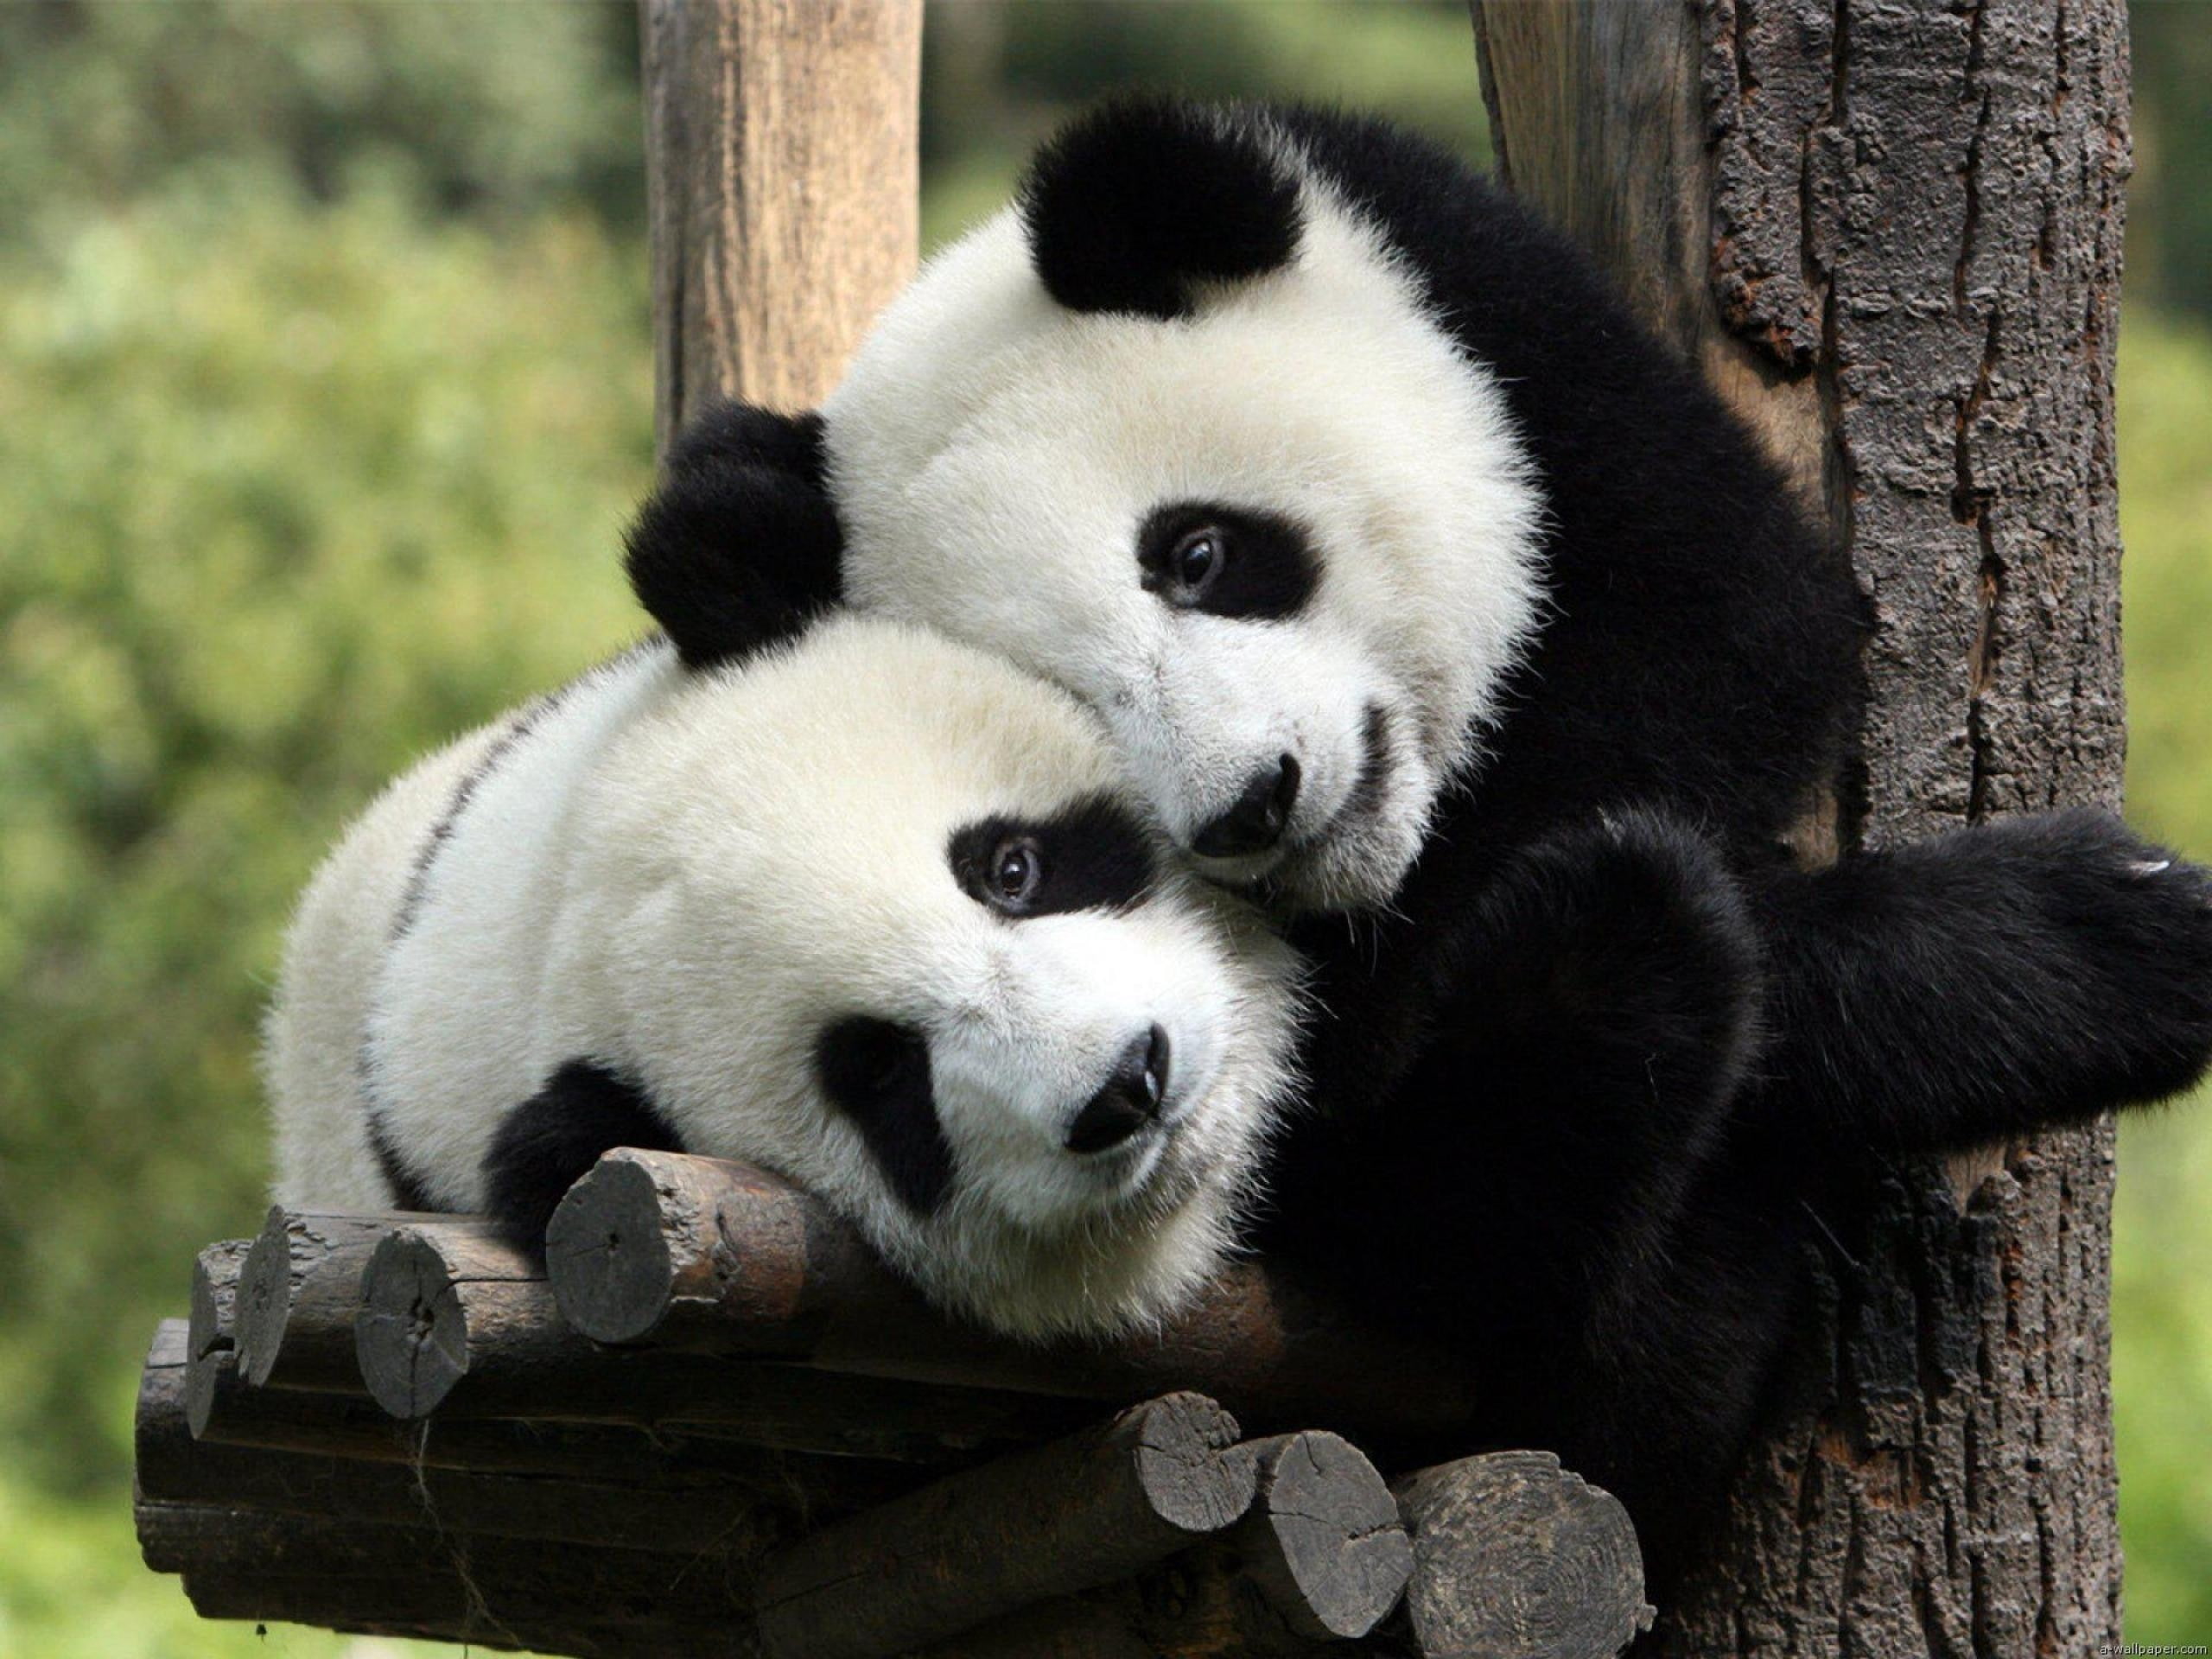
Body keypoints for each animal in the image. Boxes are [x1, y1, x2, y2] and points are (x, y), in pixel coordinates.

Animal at [626, 99, 2212, 1584]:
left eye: (1198, 554)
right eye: (1071, 704)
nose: (1254, 804)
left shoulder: (1509, 332)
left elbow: (1739, 637)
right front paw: (2096, 944)